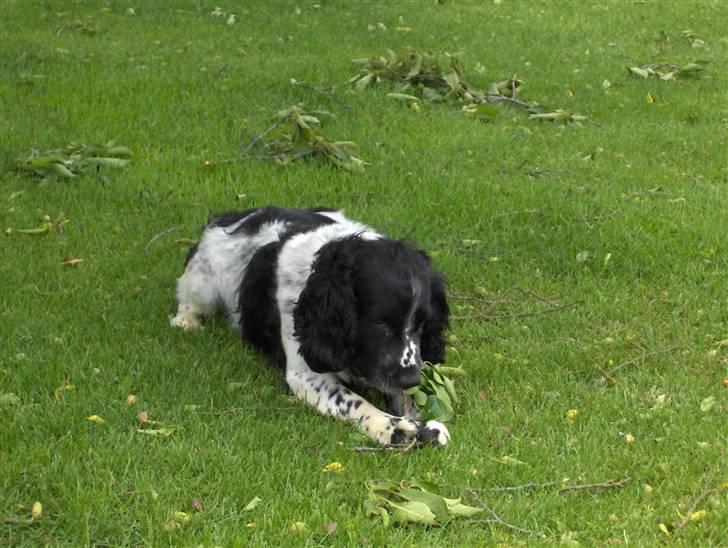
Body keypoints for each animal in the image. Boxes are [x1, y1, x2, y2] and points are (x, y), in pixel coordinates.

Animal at [173, 206, 452, 446]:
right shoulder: (305, 375)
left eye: (422, 324)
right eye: (379, 321)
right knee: (187, 300)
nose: (411, 378)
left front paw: (421, 423)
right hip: (202, 284)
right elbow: (354, 401)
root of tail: (231, 216)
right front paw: (392, 426)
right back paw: (186, 321)